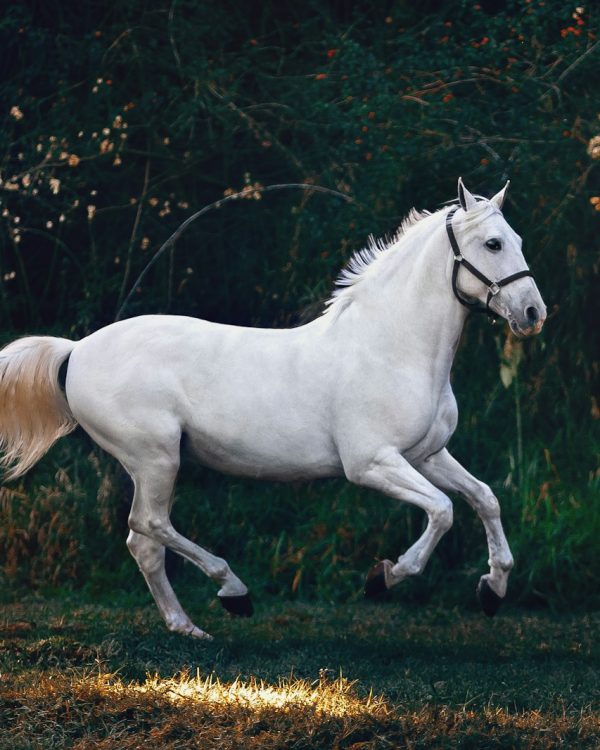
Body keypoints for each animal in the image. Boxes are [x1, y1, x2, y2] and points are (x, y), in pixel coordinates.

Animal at [0, 178, 546, 639]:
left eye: (517, 238)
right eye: (493, 244)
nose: (533, 313)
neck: (390, 347)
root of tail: (76, 350)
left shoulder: (426, 455)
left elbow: (485, 499)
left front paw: (493, 589)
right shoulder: (372, 463)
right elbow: (443, 511)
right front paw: (383, 577)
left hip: (153, 464)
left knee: (145, 544)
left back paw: (187, 627)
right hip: (155, 458)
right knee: (148, 527)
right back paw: (233, 592)